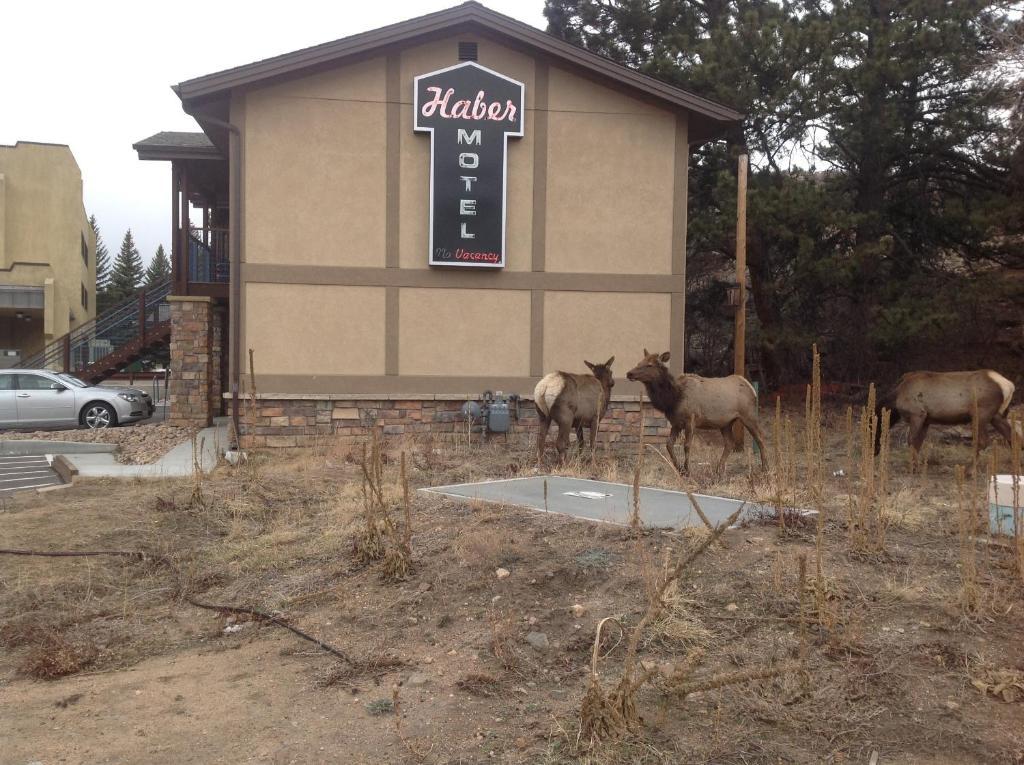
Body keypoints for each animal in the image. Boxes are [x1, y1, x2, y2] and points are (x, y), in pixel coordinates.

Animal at [622, 350, 770, 475]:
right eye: (639, 362)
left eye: (649, 365)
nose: (629, 373)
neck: (673, 399)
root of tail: (752, 389)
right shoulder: (676, 423)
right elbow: (669, 444)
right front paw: (679, 468)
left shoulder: (691, 419)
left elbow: (687, 445)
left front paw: (687, 470)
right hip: (726, 423)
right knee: (729, 443)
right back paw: (719, 469)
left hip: (748, 415)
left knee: (760, 437)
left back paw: (765, 468)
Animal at [876, 368, 1019, 462]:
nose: (875, 451)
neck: (896, 399)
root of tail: (1009, 386)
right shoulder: (926, 419)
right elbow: (918, 443)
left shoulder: (917, 413)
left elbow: (911, 441)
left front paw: (913, 466)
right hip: (997, 415)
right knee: (1013, 437)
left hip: (980, 413)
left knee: (983, 441)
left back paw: (968, 471)